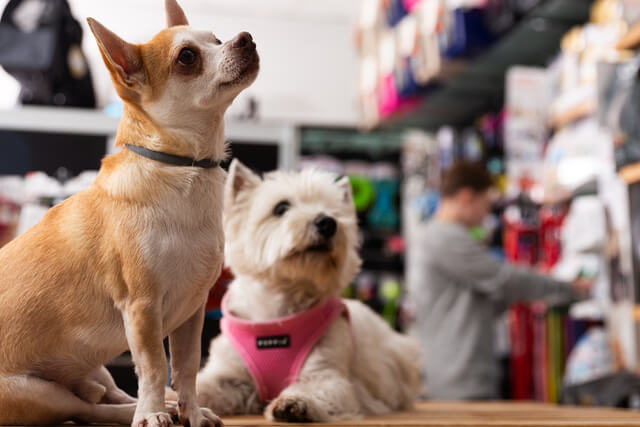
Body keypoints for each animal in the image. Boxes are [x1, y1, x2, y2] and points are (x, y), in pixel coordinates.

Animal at [196, 161, 424, 424]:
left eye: (333, 211)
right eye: (281, 207)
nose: (327, 223)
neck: (279, 311)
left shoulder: (326, 372)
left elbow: (314, 386)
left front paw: (293, 403)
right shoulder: (230, 374)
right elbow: (203, 384)